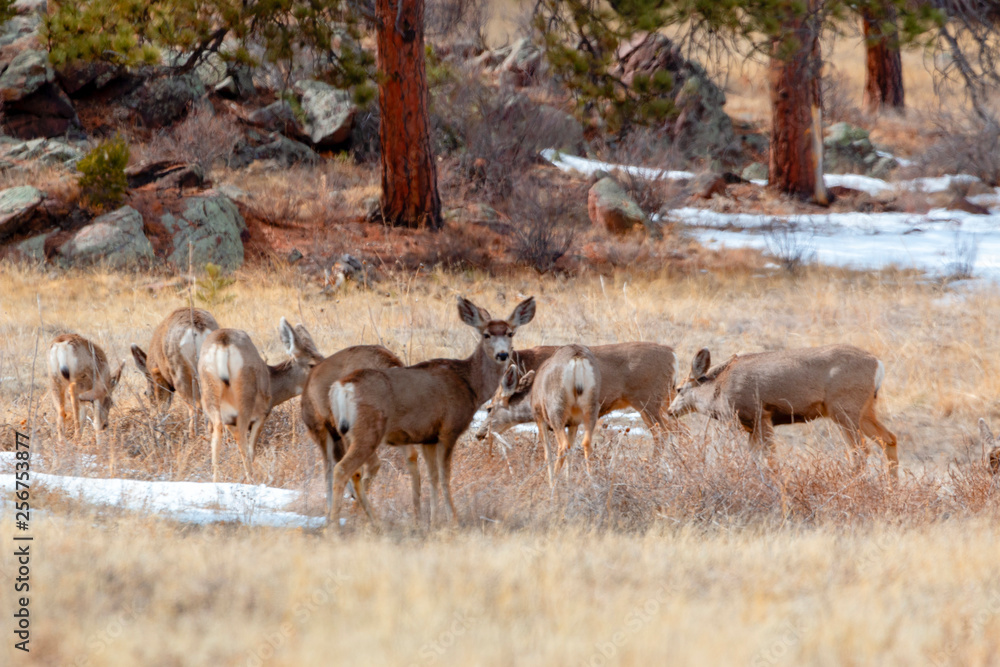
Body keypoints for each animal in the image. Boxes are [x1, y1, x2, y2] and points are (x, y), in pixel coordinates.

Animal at [198, 317, 323, 483]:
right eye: (311, 364)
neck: (272, 383)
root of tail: (223, 342)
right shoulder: (262, 414)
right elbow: (252, 449)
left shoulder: (229, 419)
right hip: (245, 396)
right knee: (242, 437)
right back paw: (251, 480)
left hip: (209, 393)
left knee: (217, 434)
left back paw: (216, 480)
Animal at [326, 295, 536, 528]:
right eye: (486, 334)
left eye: (510, 333)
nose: (502, 354)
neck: (470, 384)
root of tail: (341, 387)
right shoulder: (449, 429)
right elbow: (445, 477)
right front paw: (453, 520)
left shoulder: (427, 437)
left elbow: (432, 477)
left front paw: (434, 521)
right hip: (367, 431)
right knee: (342, 469)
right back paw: (334, 525)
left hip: (346, 432)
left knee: (354, 472)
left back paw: (371, 521)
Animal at [476, 342, 677, 455]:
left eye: (489, 408)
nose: (479, 433)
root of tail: (673, 355)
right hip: (665, 399)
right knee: (677, 430)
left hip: (648, 400)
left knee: (663, 434)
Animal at [495, 344, 601, 485]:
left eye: (489, 408)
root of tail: (577, 359)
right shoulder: (573, 422)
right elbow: (571, 453)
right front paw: (568, 483)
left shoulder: (540, 418)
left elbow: (547, 453)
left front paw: (551, 482)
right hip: (591, 406)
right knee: (586, 443)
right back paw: (591, 483)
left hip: (556, 411)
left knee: (563, 445)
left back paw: (554, 484)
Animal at [667, 345, 899, 478]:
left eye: (678, 389)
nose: (669, 411)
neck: (720, 389)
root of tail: (878, 365)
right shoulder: (751, 426)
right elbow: (754, 458)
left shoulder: (760, 414)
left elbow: (769, 457)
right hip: (865, 409)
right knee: (889, 439)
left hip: (844, 408)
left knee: (860, 450)